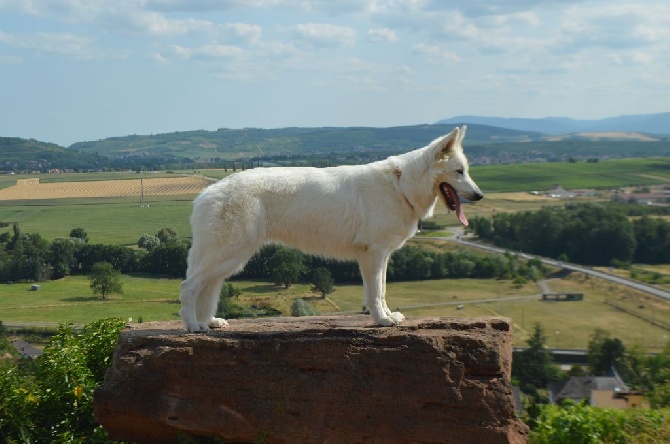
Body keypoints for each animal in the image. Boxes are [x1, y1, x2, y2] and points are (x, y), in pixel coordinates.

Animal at [180, 126, 484, 332]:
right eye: (459, 172)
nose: (480, 195)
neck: (402, 186)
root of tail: (205, 194)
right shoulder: (372, 254)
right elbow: (375, 293)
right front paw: (381, 320)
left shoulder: (382, 255)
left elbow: (383, 289)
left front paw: (389, 316)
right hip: (229, 254)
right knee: (189, 286)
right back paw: (194, 326)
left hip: (229, 259)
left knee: (207, 288)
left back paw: (210, 322)